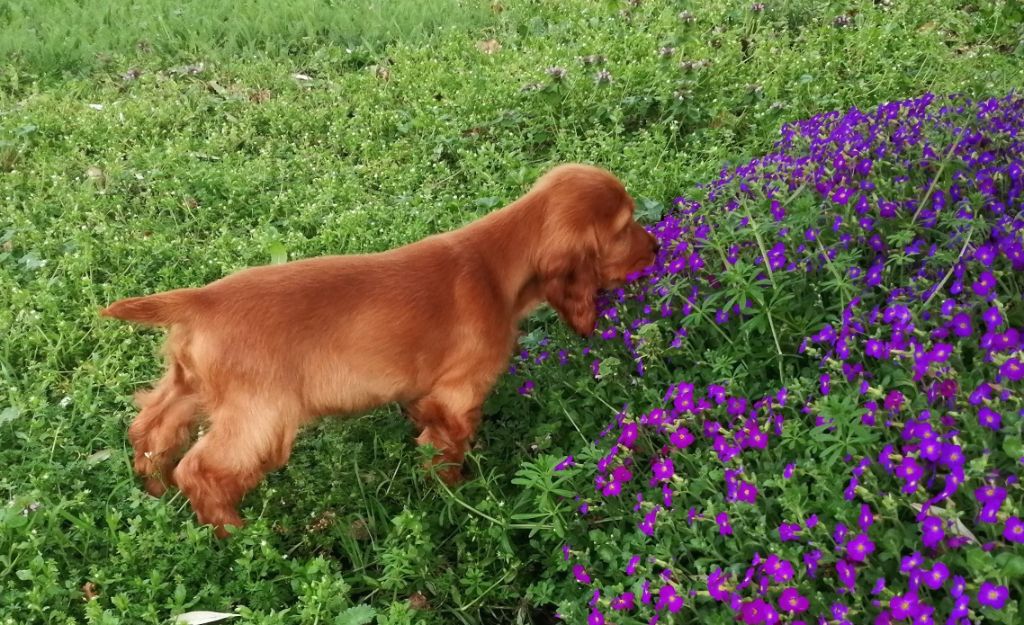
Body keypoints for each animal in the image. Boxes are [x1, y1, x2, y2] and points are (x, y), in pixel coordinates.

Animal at [103, 162, 659, 532]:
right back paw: (234, 534)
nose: (656, 248)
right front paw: (459, 497)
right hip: (260, 415)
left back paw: (154, 494)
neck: (496, 264)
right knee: (201, 469)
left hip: (189, 386)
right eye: (624, 227)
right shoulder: (458, 393)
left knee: (150, 429)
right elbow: (448, 449)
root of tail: (202, 300)